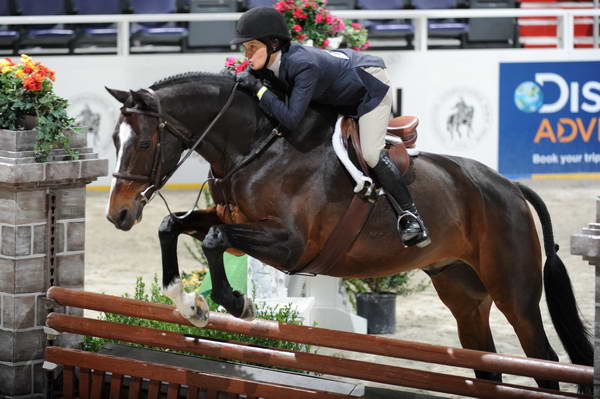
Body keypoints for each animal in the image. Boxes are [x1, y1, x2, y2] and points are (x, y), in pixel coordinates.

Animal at [104, 72, 592, 394]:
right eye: (113, 140)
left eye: (143, 143)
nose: (118, 214)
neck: (256, 146)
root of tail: (510, 186)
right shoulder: (228, 215)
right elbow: (173, 226)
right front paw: (189, 304)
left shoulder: (290, 244)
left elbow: (215, 239)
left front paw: (237, 303)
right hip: (462, 291)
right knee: (487, 365)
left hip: (514, 291)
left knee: (545, 363)